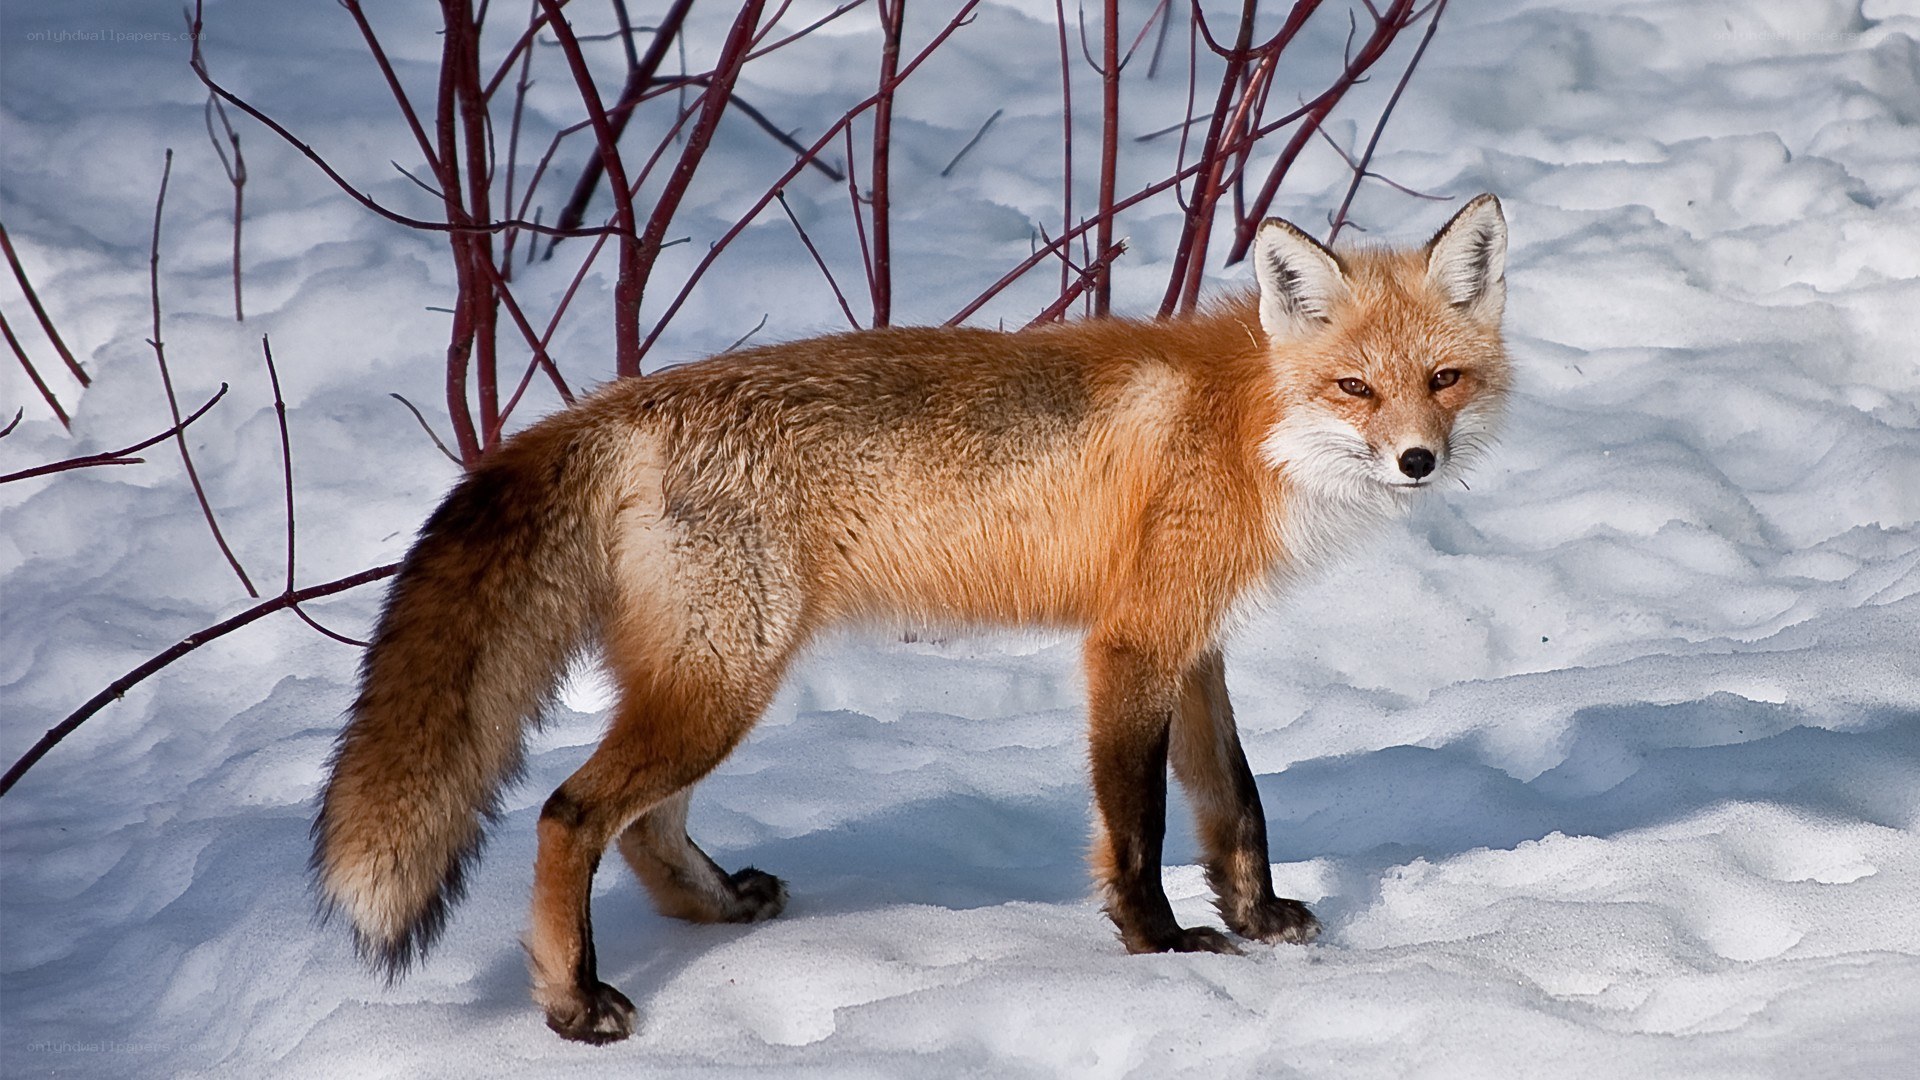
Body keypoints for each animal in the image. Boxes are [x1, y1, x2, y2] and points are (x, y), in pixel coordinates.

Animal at [312, 195, 1510, 1042]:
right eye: (1355, 388)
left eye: (1444, 379)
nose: (1418, 461)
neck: (1251, 423)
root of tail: (614, 405)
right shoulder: (1130, 646)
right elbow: (1140, 830)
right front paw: (1162, 950)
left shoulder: (1194, 645)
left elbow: (1236, 809)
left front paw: (1260, 924)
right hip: (722, 684)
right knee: (569, 815)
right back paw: (572, 1004)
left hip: (710, 682)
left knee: (643, 825)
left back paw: (719, 909)